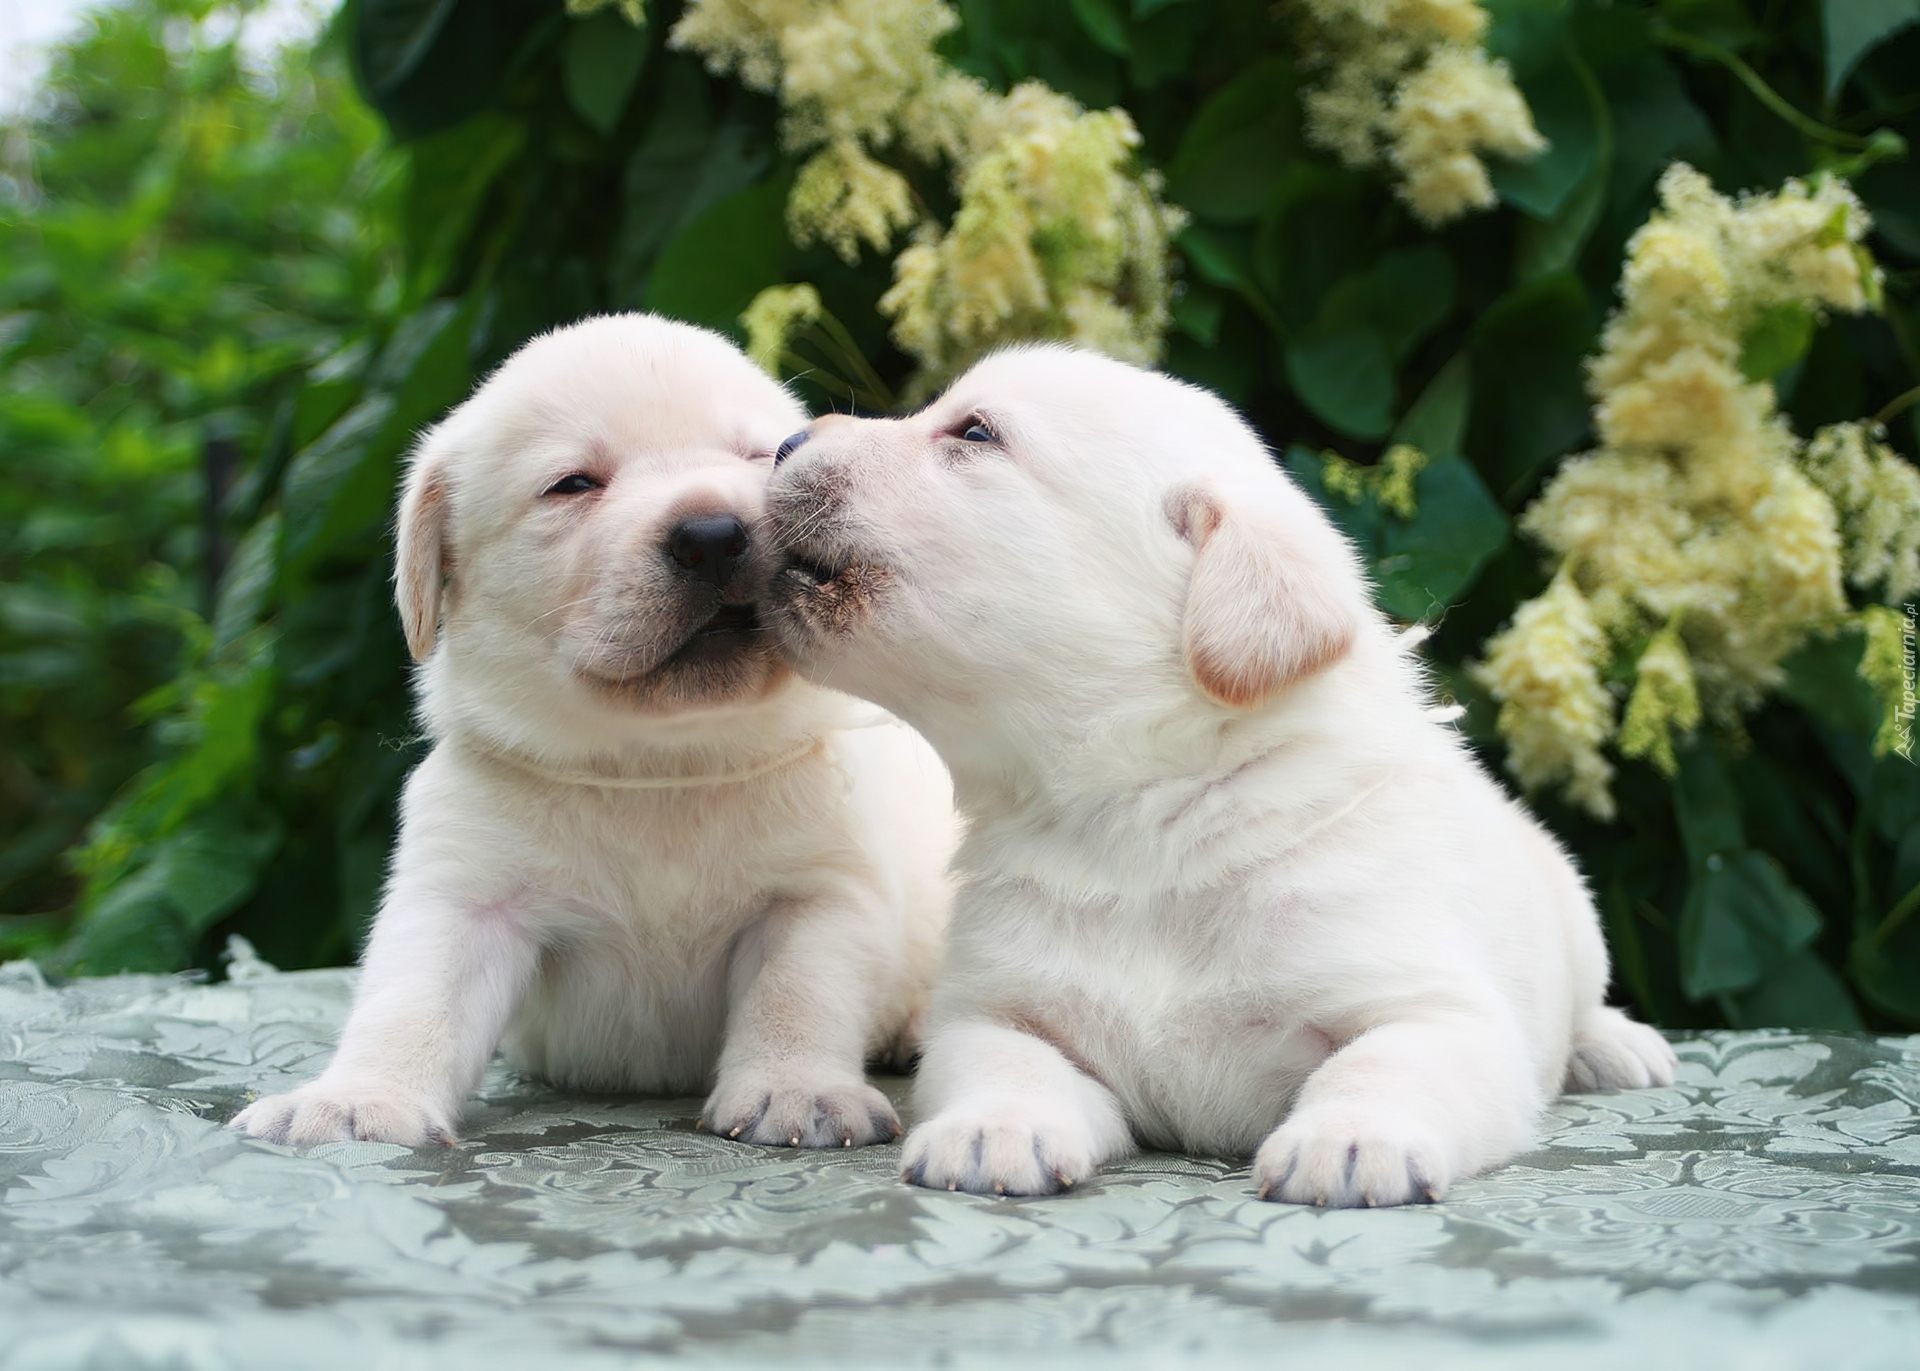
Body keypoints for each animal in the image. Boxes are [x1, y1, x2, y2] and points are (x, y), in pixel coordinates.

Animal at [236, 314, 956, 1144]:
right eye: (574, 483)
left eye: (758, 457)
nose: (714, 533)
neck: (661, 768)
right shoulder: (463, 895)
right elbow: (411, 1000)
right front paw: (358, 1100)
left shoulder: (819, 894)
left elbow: (797, 994)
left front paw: (796, 1088)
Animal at [756, 347, 1674, 1198]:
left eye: (975, 433)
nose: (783, 441)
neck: (1138, 823)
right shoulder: (997, 1013)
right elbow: (1007, 1063)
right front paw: (994, 1131)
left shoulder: (1440, 1011)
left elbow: (1377, 1065)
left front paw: (1349, 1142)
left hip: (1575, 905)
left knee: (1587, 1001)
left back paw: (1618, 1046)